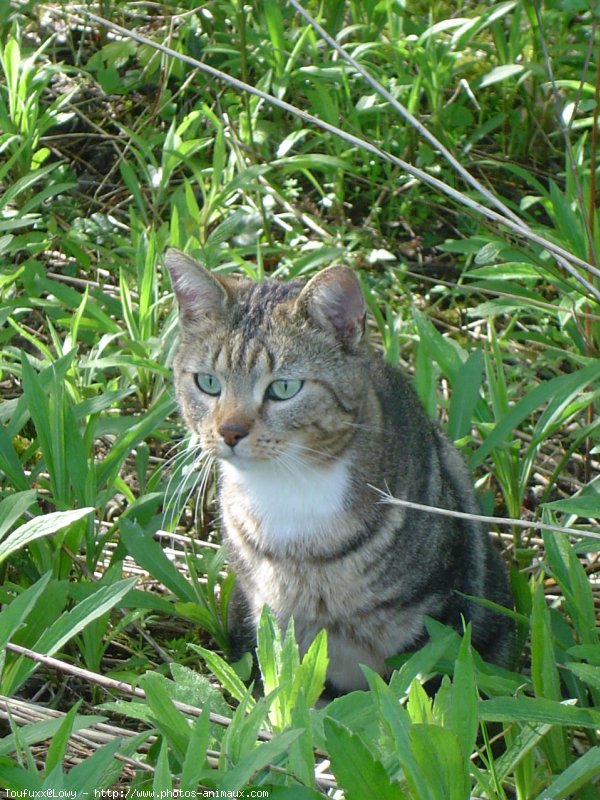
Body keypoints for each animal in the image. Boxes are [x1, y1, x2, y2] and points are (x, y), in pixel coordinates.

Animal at [166, 250, 512, 692]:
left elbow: (424, 689)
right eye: (208, 383)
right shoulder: (270, 619)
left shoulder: (442, 620)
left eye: (283, 389)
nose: (229, 431)